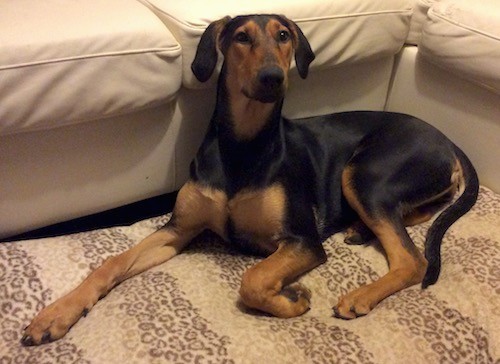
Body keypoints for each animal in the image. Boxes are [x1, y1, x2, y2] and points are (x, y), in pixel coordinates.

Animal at [21, 13, 478, 344]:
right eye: (241, 37)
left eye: (284, 35)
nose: (273, 78)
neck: (242, 144)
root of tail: (449, 140)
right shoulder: (178, 229)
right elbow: (112, 262)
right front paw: (56, 314)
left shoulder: (301, 240)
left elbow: (252, 279)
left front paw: (294, 299)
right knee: (412, 218)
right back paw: (359, 231)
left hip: (365, 173)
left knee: (412, 258)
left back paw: (360, 294)